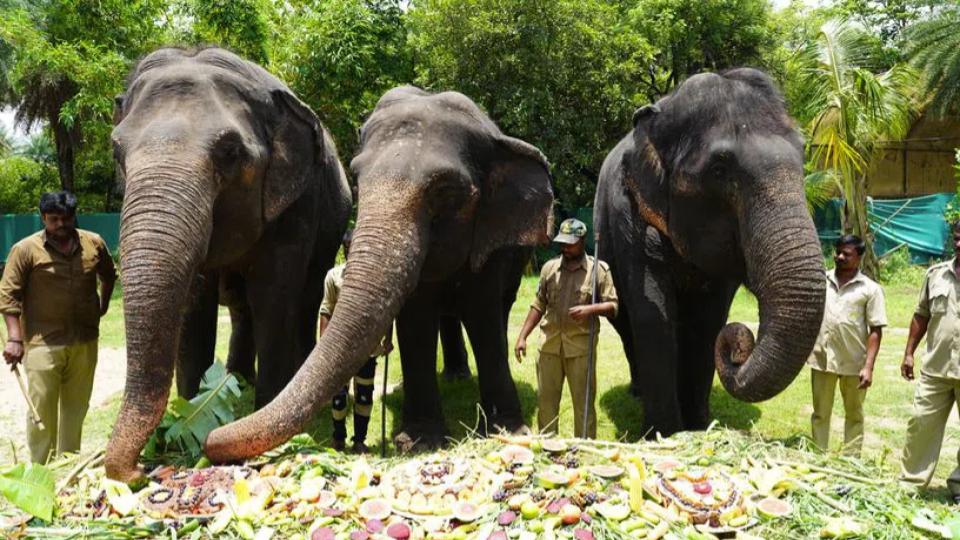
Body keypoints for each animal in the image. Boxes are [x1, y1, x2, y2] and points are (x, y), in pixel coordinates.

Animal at [103, 47, 350, 486]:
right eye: (117, 151)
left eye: (231, 153)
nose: (135, 472)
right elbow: (194, 307)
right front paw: (186, 417)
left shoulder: (296, 204)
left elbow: (274, 297)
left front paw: (263, 416)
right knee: (240, 308)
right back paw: (237, 380)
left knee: (302, 301)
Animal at [208, 86, 556, 462]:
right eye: (358, 183)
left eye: (445, 190)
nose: (209, 439)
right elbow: (416, 319)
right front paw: (422, 441)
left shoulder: (490, 240)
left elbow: (484, 315)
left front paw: (508, 432)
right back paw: (455, 378)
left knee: (499, 309)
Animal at [592, 68, 824, 438]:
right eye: (719, 170)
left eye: (804, 158)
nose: (740, 346)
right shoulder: (626, 214)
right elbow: (653, 311)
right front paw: (663, 434)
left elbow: (709, 319)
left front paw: (699, 428)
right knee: (626, 323)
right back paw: (637, 392)